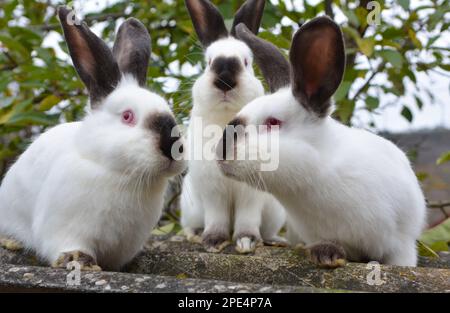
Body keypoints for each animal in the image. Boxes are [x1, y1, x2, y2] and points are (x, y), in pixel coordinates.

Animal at [0, 7, 185, 270]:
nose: (172, 147)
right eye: (127, 116)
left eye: (168, 109)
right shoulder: (64, 227)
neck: (119, 173)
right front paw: (79, 260)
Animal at [179, 0, 284, 252]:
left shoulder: (251, 191)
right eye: (208, 63)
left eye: (246, 62)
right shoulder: (212, 190)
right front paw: (213, 242)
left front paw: (246, 242)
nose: (225, 80)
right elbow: (216, 217)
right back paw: (193, 234)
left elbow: (247, 217)